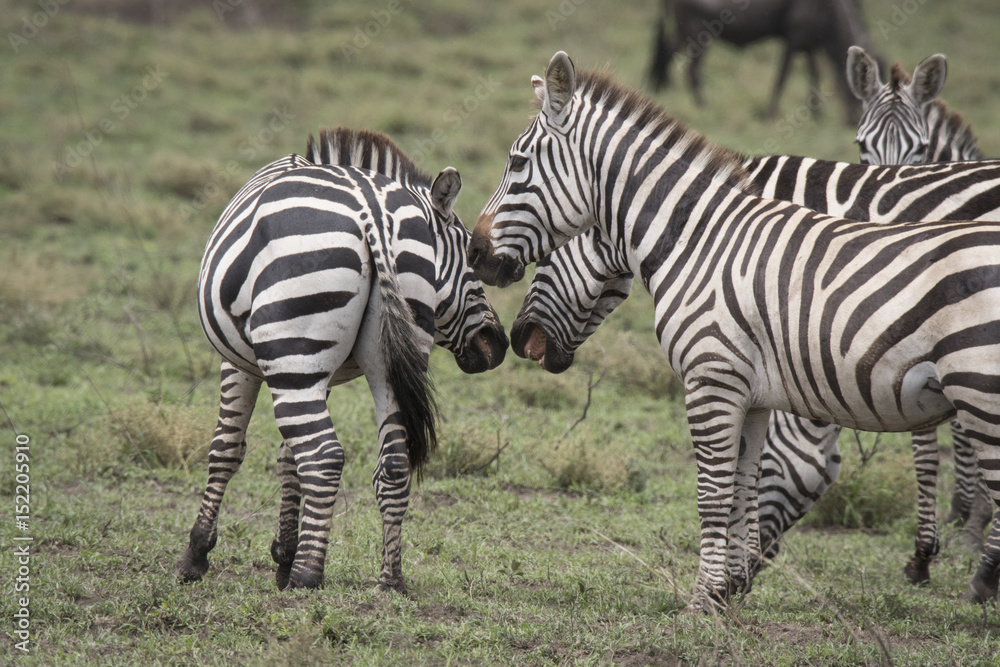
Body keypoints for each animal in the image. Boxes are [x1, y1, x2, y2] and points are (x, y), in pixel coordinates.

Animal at [178, 129, 508, 593]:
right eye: (472, 264)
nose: (498, 345)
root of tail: (374, 214)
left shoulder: (244, 364)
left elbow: (226, 449)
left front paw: (197, 555)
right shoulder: (318, 373)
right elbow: (286, 458)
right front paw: (283, 554)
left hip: (296, 343)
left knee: (324, 457)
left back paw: (307, 575)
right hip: (380, 363)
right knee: (393, 463)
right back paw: (390, 579)